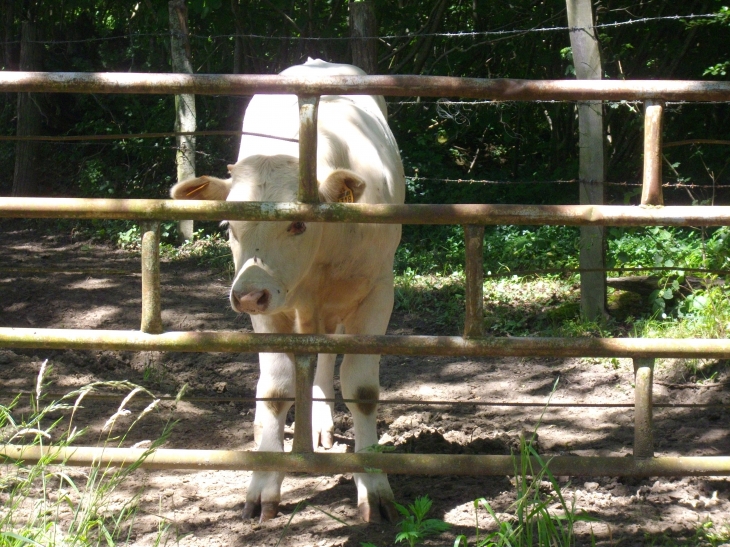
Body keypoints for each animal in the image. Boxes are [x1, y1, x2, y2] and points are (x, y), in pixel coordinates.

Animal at [170, 57, 404, 524]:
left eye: (297, 223)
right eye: (228, 224)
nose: (245, 296)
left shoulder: (376, 294)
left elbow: (362, 391)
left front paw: (373, 484)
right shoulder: (270, 311)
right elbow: (275, 391)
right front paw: (264, 484)